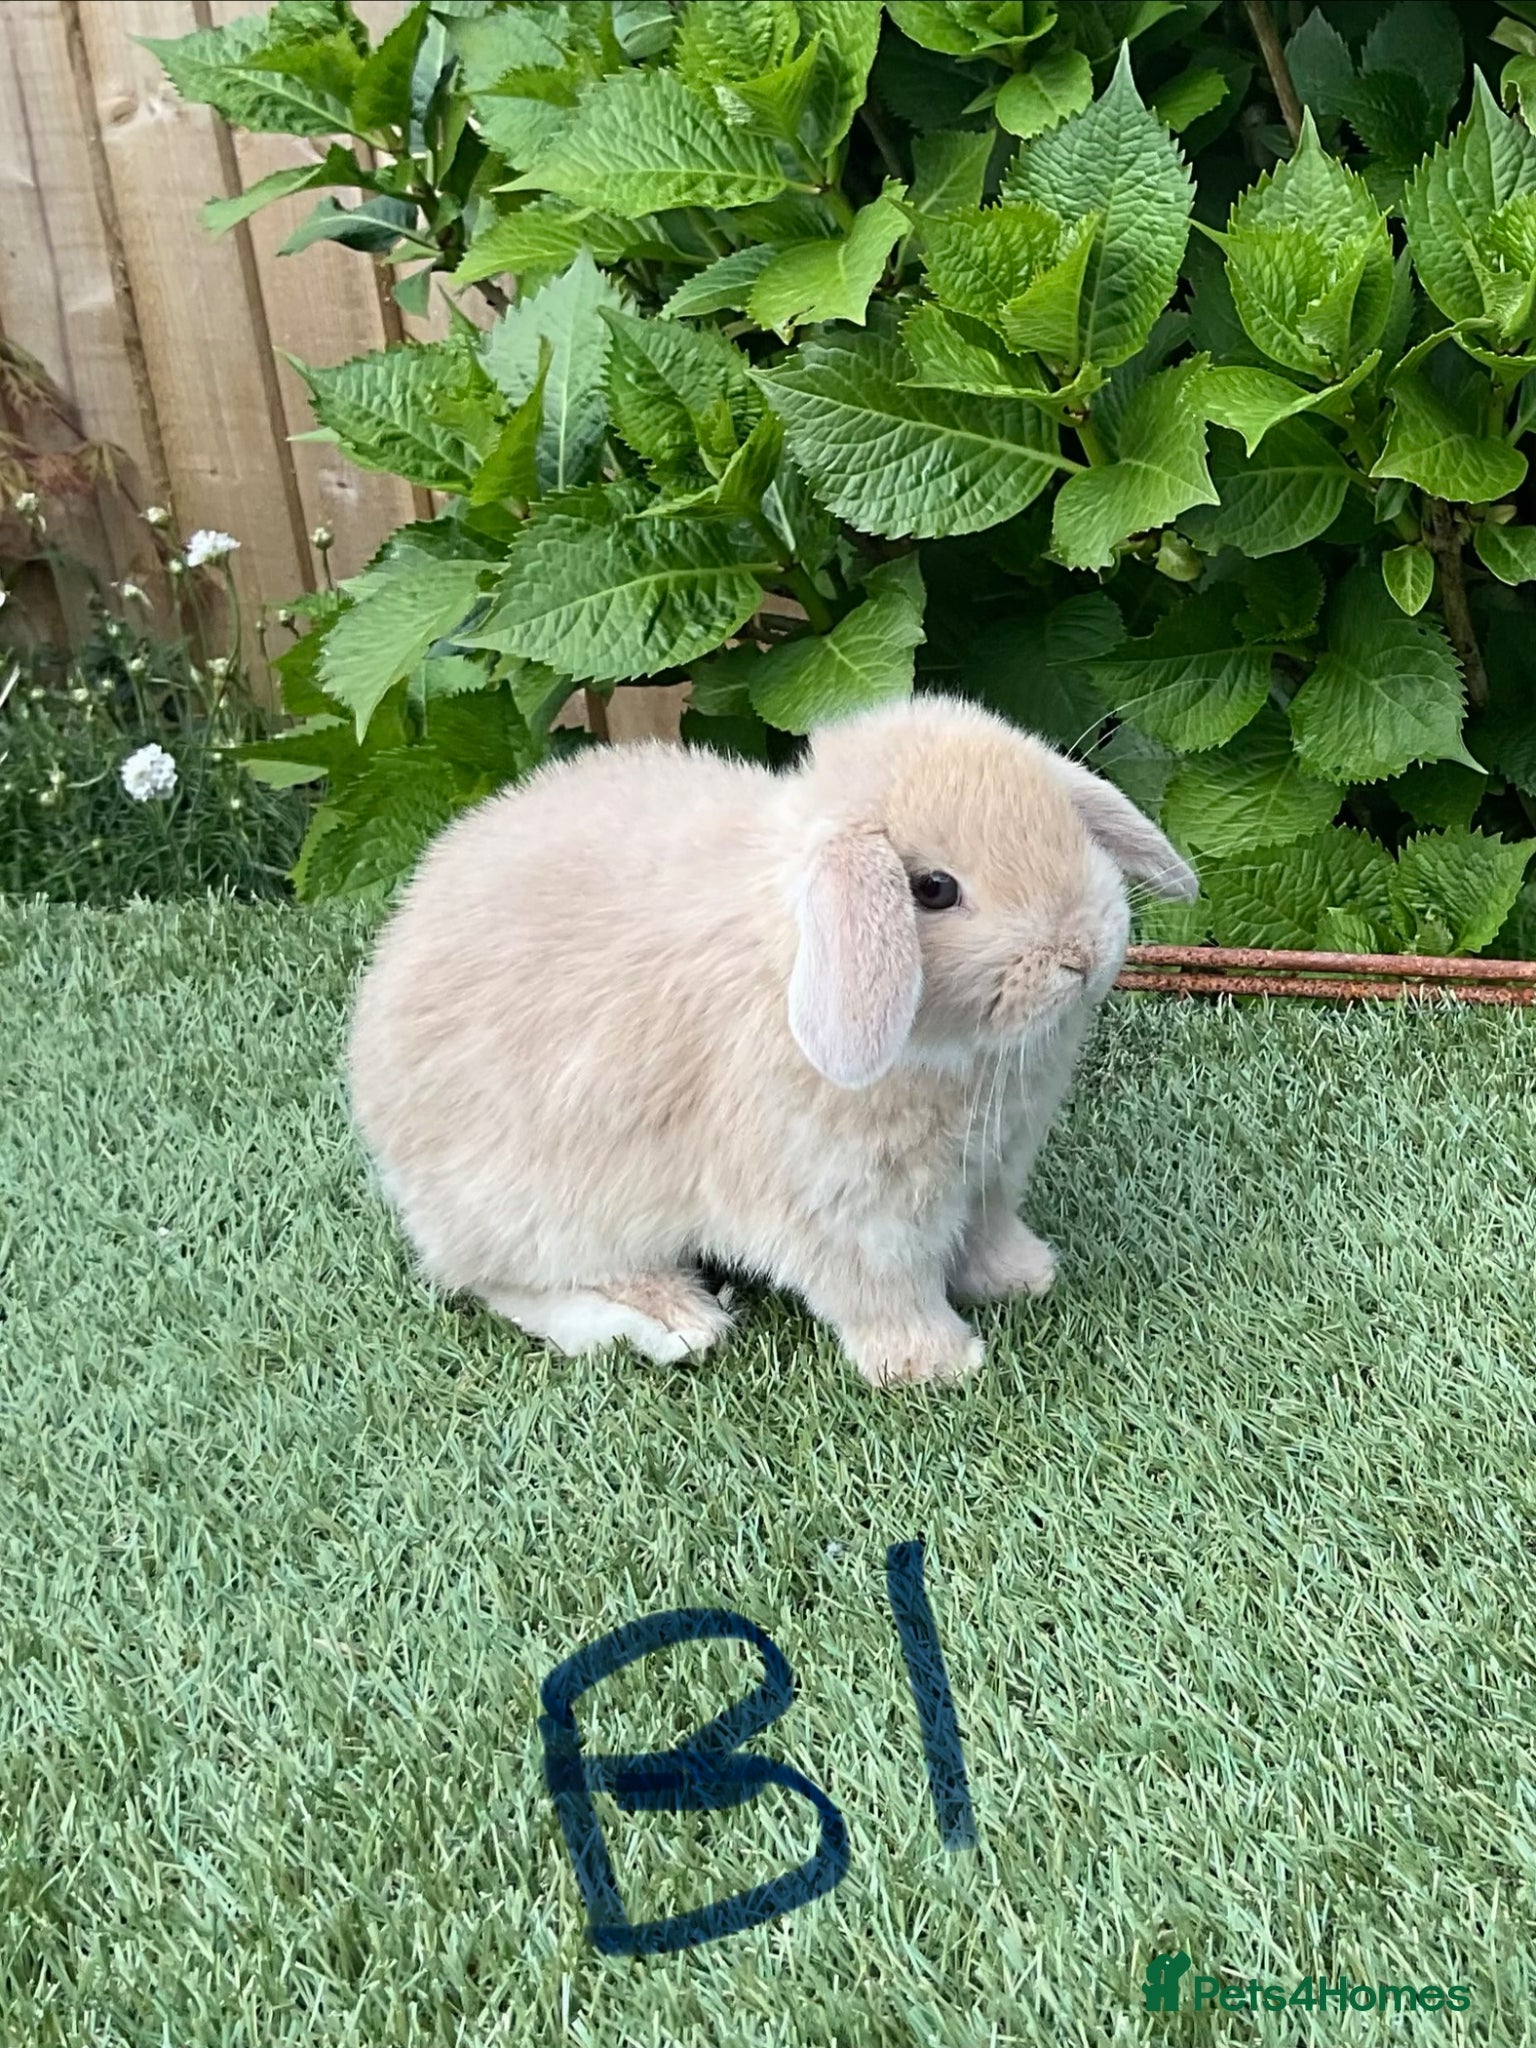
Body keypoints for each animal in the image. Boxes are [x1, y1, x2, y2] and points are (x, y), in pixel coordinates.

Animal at [347, 692, 1196, 1389]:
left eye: (1070, 828)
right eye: (933, 889)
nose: (1082, 952)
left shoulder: (989, 1174)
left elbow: (984, 1237)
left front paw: (1026, 1277)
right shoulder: (853, 1214)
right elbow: (884, 1291)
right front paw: (936, 1364)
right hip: (544, 1210)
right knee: (504, 1283)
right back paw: (676, 1319)